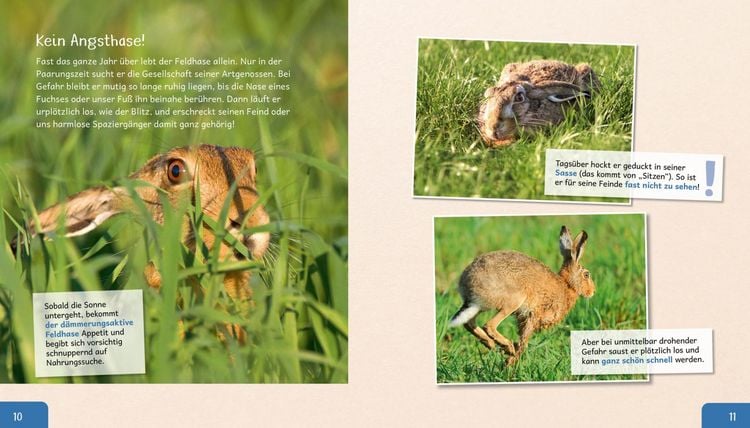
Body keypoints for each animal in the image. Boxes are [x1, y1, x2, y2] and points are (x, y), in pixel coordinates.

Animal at [449, 225, 594, 366]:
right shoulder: (533, 316)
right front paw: (510, 363)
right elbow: (524, 341)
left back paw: (491, 344)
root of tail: (468, 285)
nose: (592, 291)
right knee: (489, 325)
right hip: (512, 301)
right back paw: (507, 347)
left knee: (469, 323)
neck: (567, 285)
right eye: (586, 275)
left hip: (480, 307)